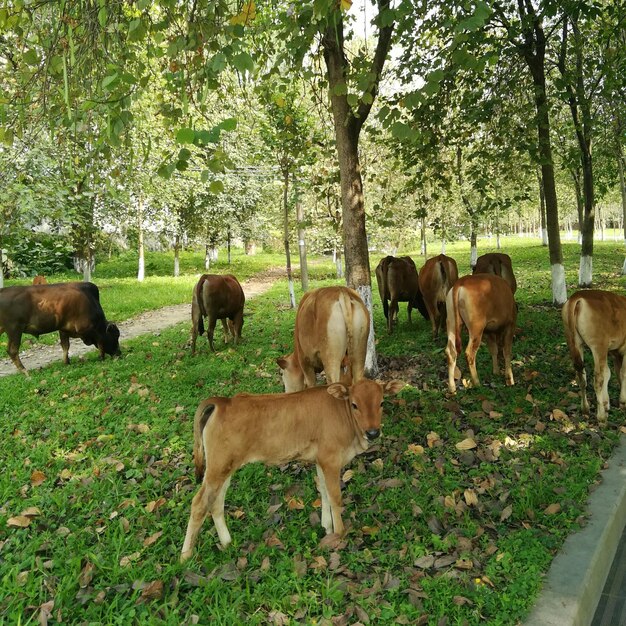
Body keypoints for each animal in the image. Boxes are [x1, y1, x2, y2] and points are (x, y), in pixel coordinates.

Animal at [180, 376, 404, 556]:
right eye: (355, 404)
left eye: (381, 402)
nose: (373, 432)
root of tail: (223, 401)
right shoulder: (331, 460)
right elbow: (335, 497)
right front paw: (339, 534)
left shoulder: (321, 460)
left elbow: (323, 491)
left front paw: (327, 527)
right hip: (218, 467)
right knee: (199, 503)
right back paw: (186, 556)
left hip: (224, 467)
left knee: (216, 502)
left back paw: (227, 543)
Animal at [560, 288, 624, 424]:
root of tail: (576, 297)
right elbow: (621, 373)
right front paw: (622, 402)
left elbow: (611, 372)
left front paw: (606, 404)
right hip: (598, 345)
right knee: (598, 378)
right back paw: (601, 417)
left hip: (573, 341)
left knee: (581, 376)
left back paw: (585, 409)